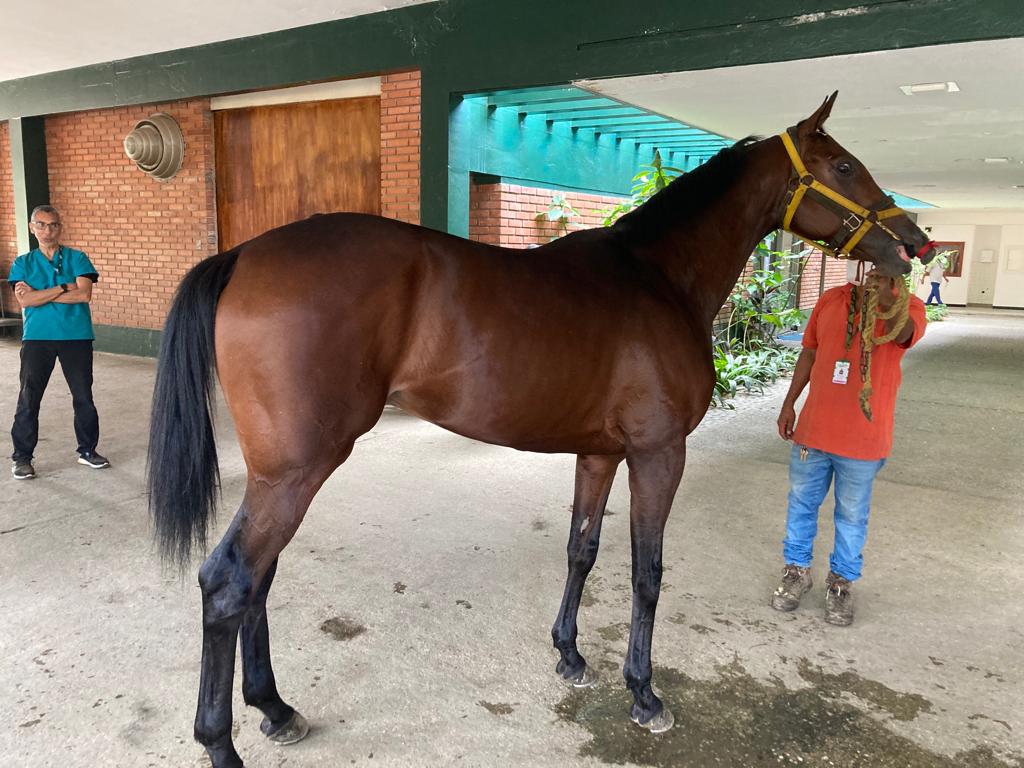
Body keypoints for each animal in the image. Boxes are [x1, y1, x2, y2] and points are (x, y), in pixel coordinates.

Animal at [148, 92, 934, 767]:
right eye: (843, 166)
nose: (916, 243)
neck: (658, 277)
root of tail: (245, 255)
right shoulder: (659, 453)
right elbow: (646, 570)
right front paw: (644, 693)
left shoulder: (600, 454)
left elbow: (581, 550)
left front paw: (570, 655)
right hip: (297, 472)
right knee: (229, 582)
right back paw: (223, 742)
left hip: (281, 474)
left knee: (258, 580)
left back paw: (276, 710)